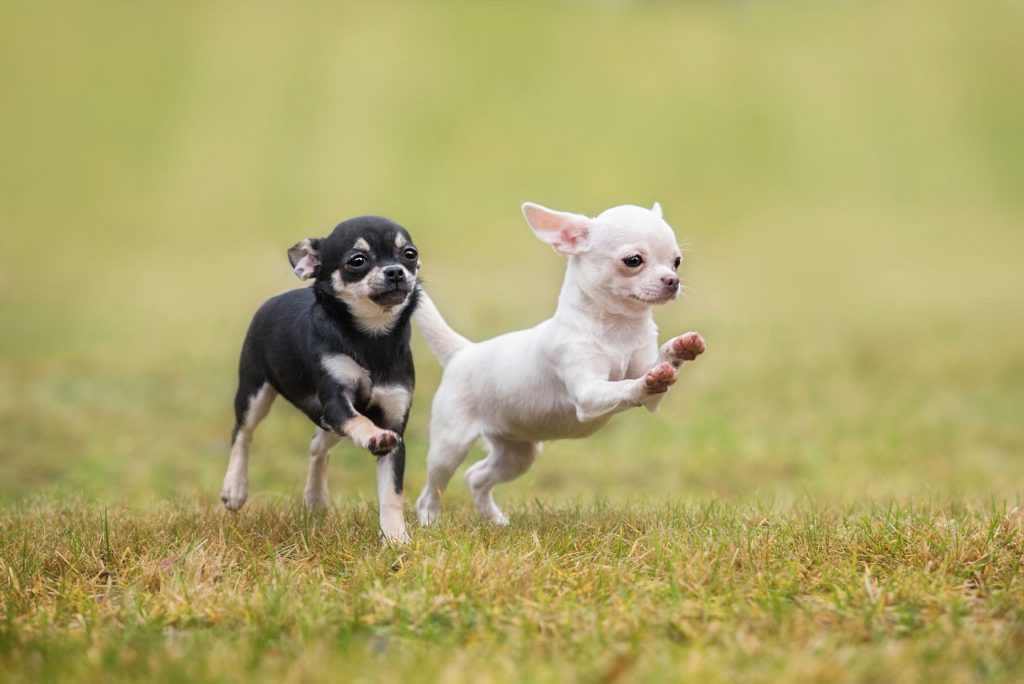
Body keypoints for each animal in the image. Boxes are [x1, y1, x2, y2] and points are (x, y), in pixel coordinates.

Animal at [220, 216, 419, 540]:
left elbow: (392, 494)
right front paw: (373, 436)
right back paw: (235, 487)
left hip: (326, 422)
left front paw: (396, 538)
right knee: (242, 433)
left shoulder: (393, 421)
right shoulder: (337, 403)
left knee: (316, 445)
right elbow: (360, 422)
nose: (395, 271)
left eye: (409, 255)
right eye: (357, 261)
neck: (371, 339)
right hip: (255, 392)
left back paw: (315, 498)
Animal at [411, 201, 708, 524]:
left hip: (518, 453)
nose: (673, 281)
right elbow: (624, 385)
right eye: (633, 261)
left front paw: (680, 348)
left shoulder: (650, 395)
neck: (619, 330)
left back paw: (495, 521)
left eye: (677, 261)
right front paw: (645, 382)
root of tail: (463, 351)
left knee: (476, 476)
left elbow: (656, 368)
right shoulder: (589, 394)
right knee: (431, 491)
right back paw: (429, 523)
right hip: (449, 448)